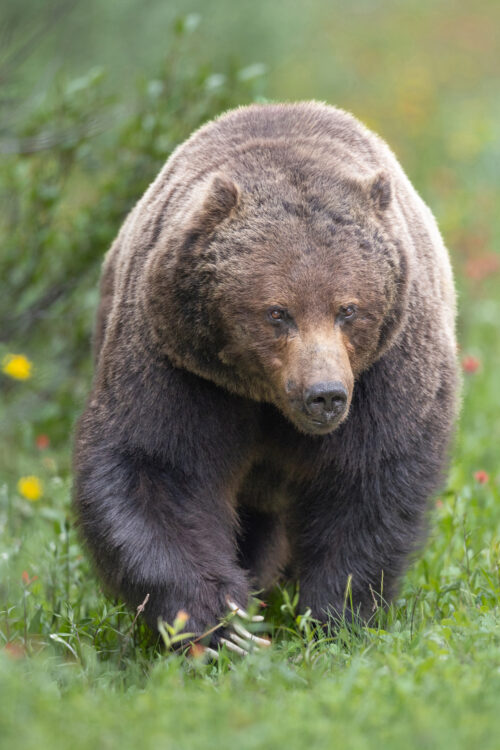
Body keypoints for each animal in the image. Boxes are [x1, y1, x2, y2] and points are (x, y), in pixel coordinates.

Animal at [73, 101, 458, 641]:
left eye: (348, 309)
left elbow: (369, 478)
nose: (325, 395)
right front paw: (221, 622)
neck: (267, 400)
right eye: (278, 312)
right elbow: (158, 469)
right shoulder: (179, 367)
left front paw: (333, 613)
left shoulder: (387, 368)